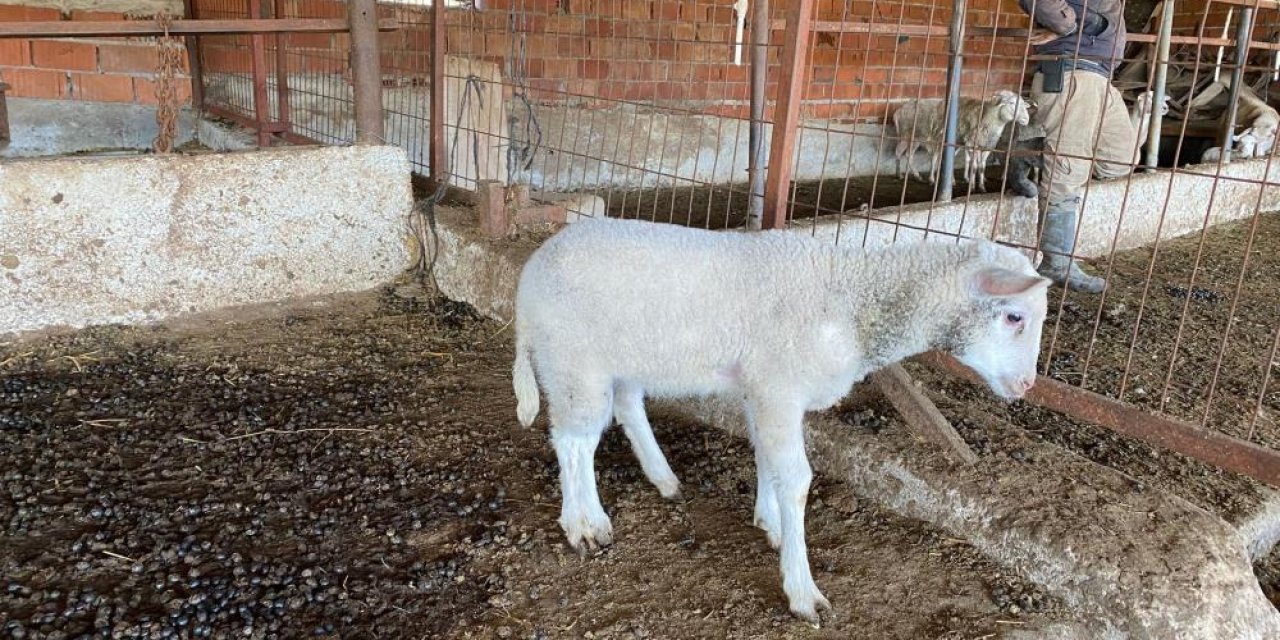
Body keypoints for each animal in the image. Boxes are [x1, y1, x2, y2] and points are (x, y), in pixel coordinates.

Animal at [509, 218, 1049, 624]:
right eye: (1014, 317)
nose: (1026, 387)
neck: (855, 304)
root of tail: (528, 277)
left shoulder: (763, 390)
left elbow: (766, 457)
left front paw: (768, 521)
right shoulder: (779, 385)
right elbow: (796, 480)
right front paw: (802, 588)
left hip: (620, 358)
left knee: (623, 408)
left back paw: (662, 479)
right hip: (574, 361)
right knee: (573, 440)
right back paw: (584, 523)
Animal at [896, 90, 1034, 190]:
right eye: (1011, 103)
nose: (1026, 120)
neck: (987, 118)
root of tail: (899, 110)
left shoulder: (986, 146)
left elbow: (981, 166)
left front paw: (981, 185)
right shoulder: (972, 144)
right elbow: (974, 165)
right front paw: (972, 185)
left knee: (927, 156)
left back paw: (927, 178)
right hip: (910, 135)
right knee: (904, 153)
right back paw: (908, 175)